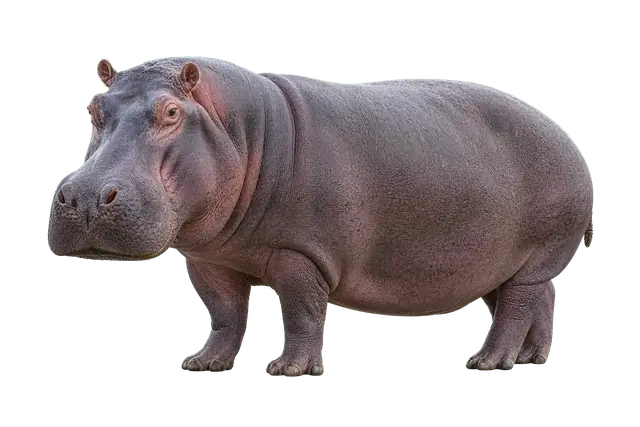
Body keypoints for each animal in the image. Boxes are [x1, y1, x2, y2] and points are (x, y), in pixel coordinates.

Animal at [47, 55, 594, 376]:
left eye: (170, 112)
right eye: (94, 110)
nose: (86, 197)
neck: (239, 129)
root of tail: (563, 133)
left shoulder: (300, 254)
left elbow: (302, 312)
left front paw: (289, 370)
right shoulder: (209, 258)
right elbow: (225, 314)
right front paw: (202, 363)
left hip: (535, 254)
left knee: (517, 308)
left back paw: (489, 361)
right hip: (516, 264)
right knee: (540, 301)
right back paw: (531, 358)